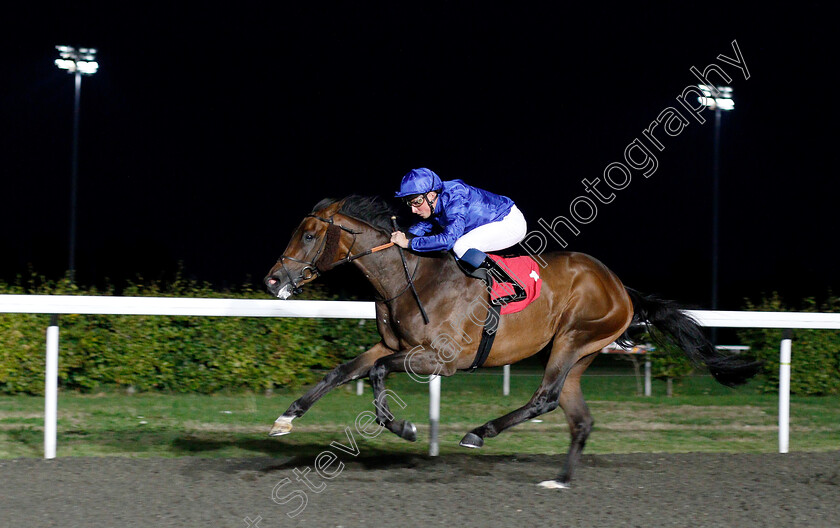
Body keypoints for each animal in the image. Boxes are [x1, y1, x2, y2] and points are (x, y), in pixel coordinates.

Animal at [264, 196, 760, 488]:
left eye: (309, 234)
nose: (272, 280)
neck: (412, 278)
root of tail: (620, 286)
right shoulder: (390, 344)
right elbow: (343, 371)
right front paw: (286, 418)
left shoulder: (442, 359)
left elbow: (380, 374)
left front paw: (404, 428)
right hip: (580, 352)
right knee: (578, 417)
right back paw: (560, 479)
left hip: (572, 340)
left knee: (545, 398)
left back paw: (479, 433)